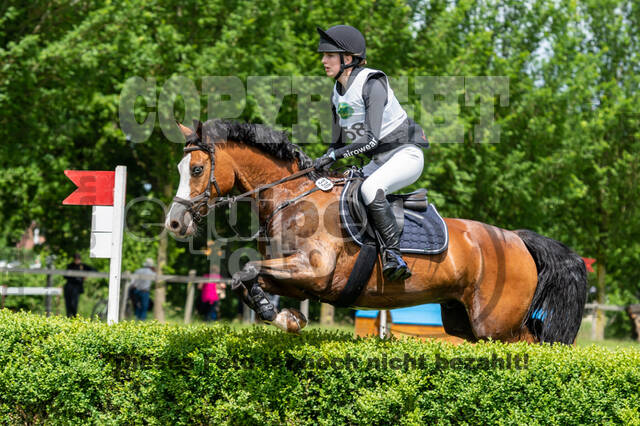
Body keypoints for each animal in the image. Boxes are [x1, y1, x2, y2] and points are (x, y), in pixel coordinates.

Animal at [164, 119, 587, 344]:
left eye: (197, 169)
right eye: (180, 169)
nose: (174, 222)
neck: (291, 198)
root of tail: (517, 239)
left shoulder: (314, 271)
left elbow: (247, 271)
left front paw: (284, 318)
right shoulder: (293, 277)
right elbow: (245, 279)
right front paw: (287, 317)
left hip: (498, 325)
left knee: (533, 344)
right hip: (463, 319)